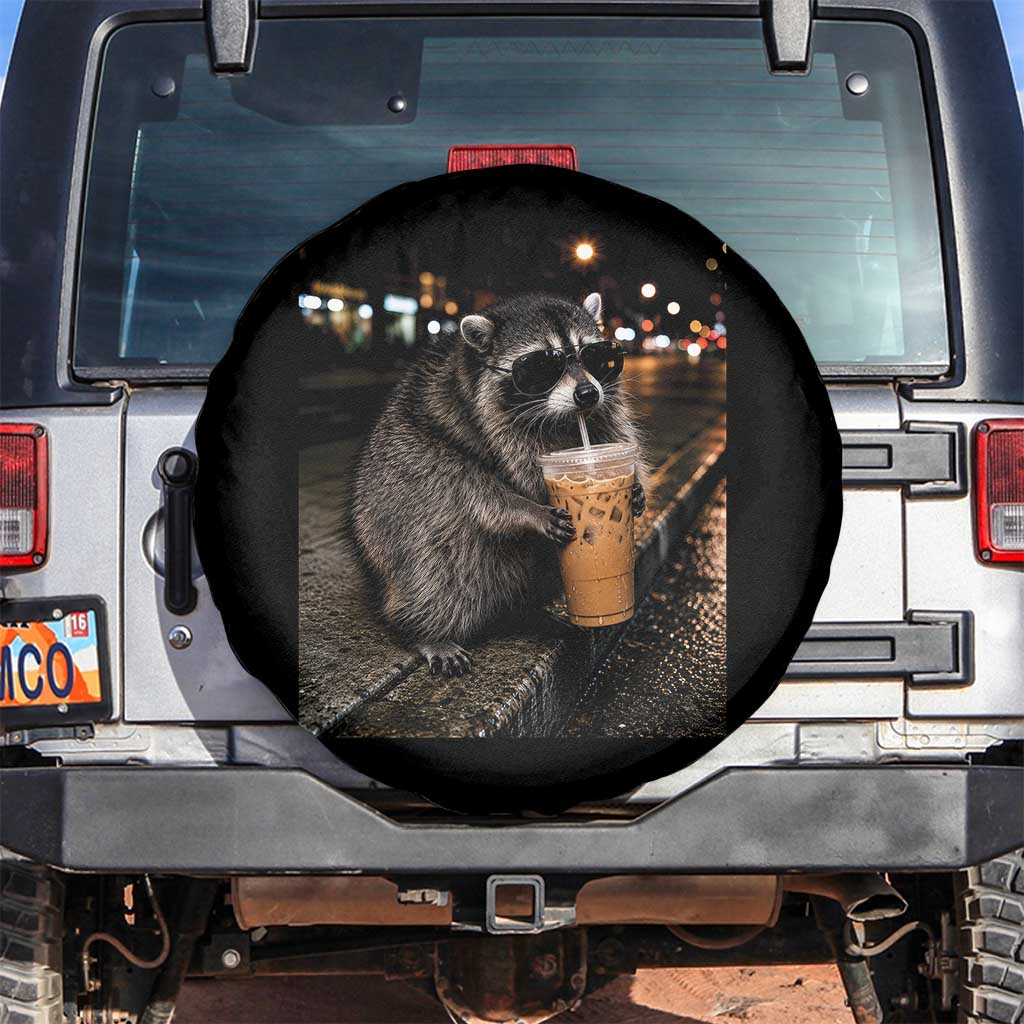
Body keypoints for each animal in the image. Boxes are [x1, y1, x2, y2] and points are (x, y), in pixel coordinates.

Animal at [349, 292, 647, 677]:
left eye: (594, 355)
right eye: (541, 364)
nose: (586, 394)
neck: (561, 422)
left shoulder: (600, 413)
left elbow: (612, 432)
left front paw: (635, 487)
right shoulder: (470, 424)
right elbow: (477, 487)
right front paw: (527, 508)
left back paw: (526, 612)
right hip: (393, 515)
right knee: (439, 551)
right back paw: (427, 630)